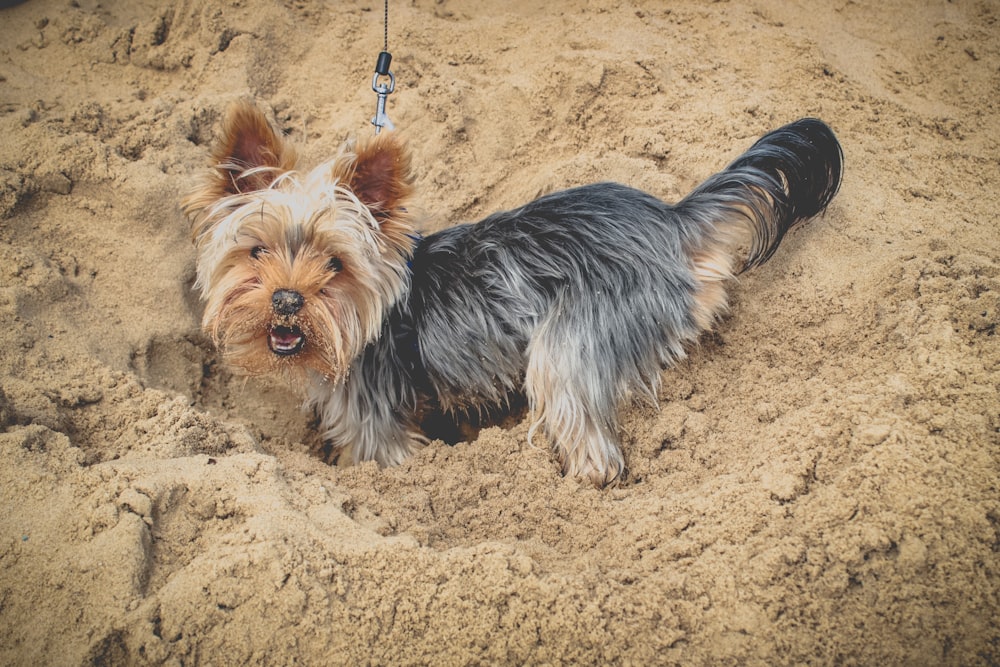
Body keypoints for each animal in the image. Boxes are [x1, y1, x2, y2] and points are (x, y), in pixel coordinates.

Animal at [184, 103, 840, 490]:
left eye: (334, 264)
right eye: (256, 252)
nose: (287, 300)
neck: (364, 322)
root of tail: (671, 220)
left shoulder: (374, 423)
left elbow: (381, 462)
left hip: (571, 342)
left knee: (590, 437)